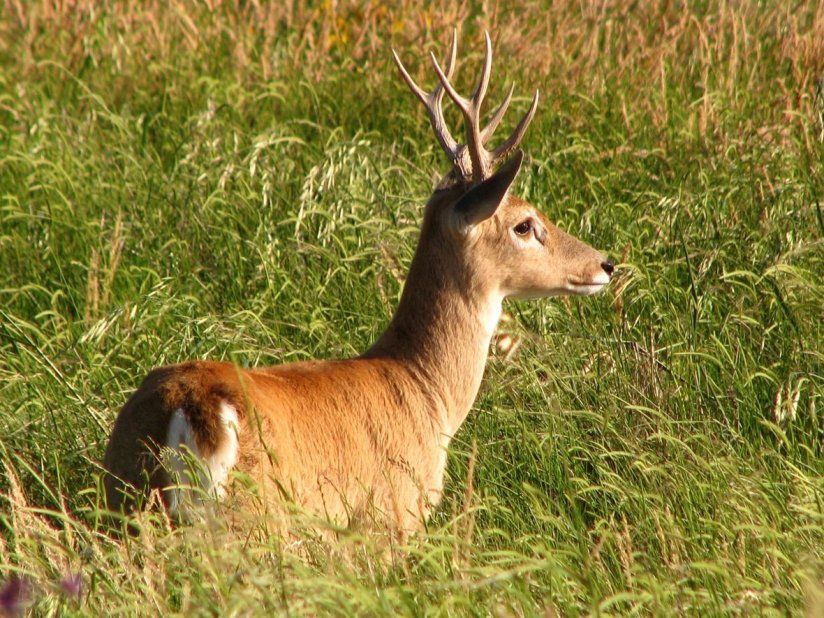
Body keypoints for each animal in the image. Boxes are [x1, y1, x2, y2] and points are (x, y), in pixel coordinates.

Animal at [101, 31, 612, 536]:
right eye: (525, 224)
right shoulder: (394, 515)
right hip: (255, 519)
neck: (425, 388)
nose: (606, 263)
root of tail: (192, 407)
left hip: (124, 501)